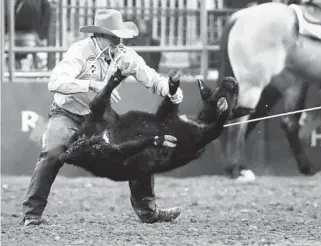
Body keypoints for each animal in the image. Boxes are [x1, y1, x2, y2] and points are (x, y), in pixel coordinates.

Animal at [58, 69, 236, 181]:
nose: (81, 144)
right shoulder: (110, 152)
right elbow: (130, 147)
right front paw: (160, 140)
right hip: (185, 127)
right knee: (216, 125)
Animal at [218, 0, 320, 182]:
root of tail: (240, 15)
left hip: (291, 85)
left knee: (286, 123)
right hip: (252, 86)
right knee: (239, 124)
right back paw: (239, 170)